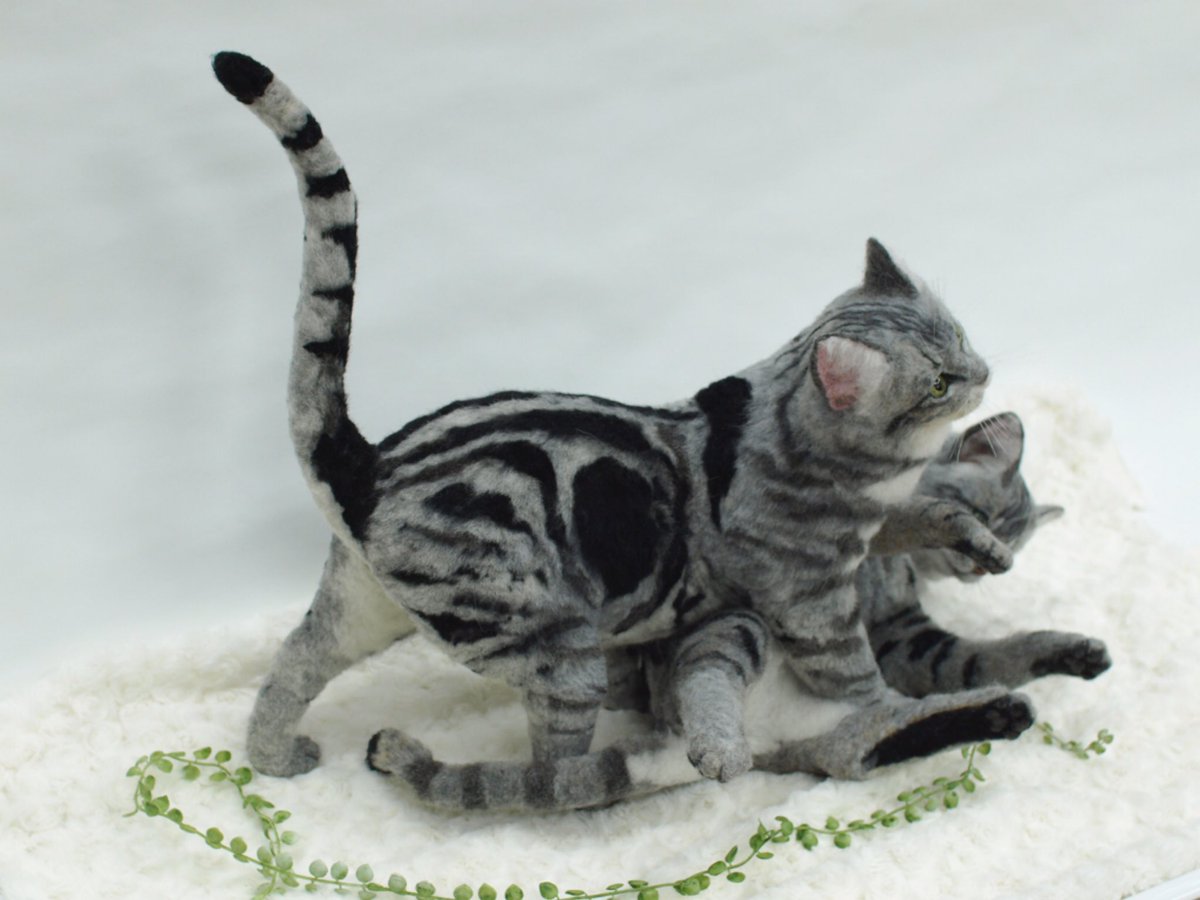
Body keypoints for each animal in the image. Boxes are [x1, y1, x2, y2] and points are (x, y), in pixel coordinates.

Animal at [211, 51, 1027, 783]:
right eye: (939, 384)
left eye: (964, 339)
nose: (985, 374)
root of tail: (370, 463)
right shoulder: (812, 599)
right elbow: (856, 677)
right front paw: (897, 709)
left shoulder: (865, 532)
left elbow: (921, 518)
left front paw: (975, 536)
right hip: (555, 645)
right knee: (551, 771)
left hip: (361, 607)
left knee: (293, 665)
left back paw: (276, 758)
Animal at [366, 412, 1111, 811]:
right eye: (986, 512)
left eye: (1017, 539)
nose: (990, 564)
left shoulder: (907, 638)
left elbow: (992, 652)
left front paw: (1076, 652)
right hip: (738, 630)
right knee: (713, 678)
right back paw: (719, 742)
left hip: (839, 733)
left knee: (882, 737)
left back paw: (1004, 713)